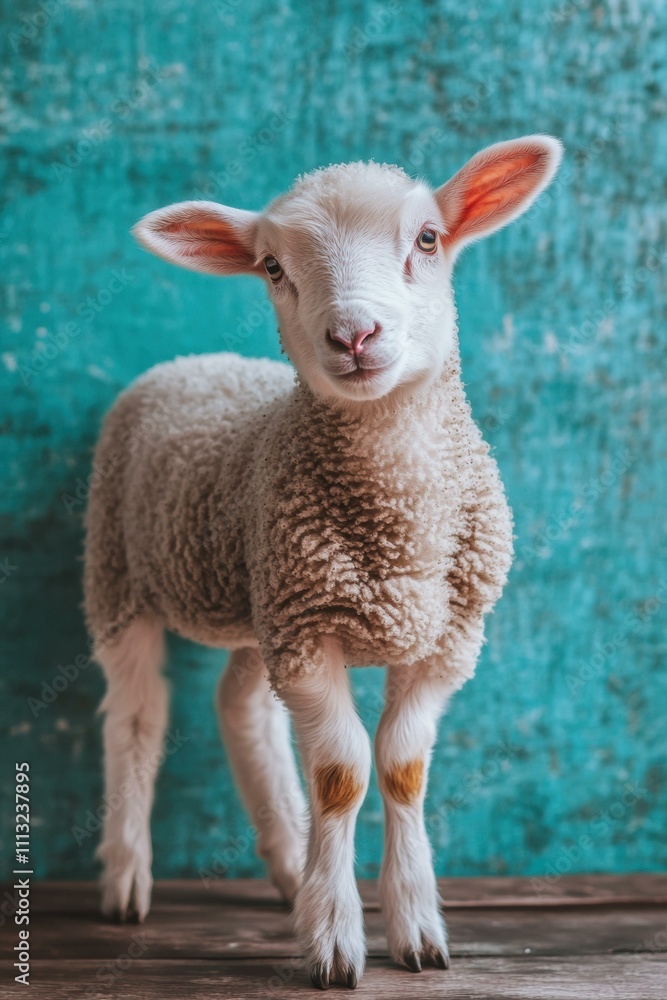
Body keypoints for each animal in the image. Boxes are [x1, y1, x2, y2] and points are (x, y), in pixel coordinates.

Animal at [84, 135, 562, 989]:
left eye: (428, 239)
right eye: (272, 267)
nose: (353, 336)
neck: (399, 526)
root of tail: (191, 359)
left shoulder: (446, 635)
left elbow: (401, 767)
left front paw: (414, 931)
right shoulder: (310, 631)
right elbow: (341, 774)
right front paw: (337, 942)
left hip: (258, 597)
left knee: (242, 708)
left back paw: (288, 869)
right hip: (119, 575)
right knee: (137, 715)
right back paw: (127, 879)